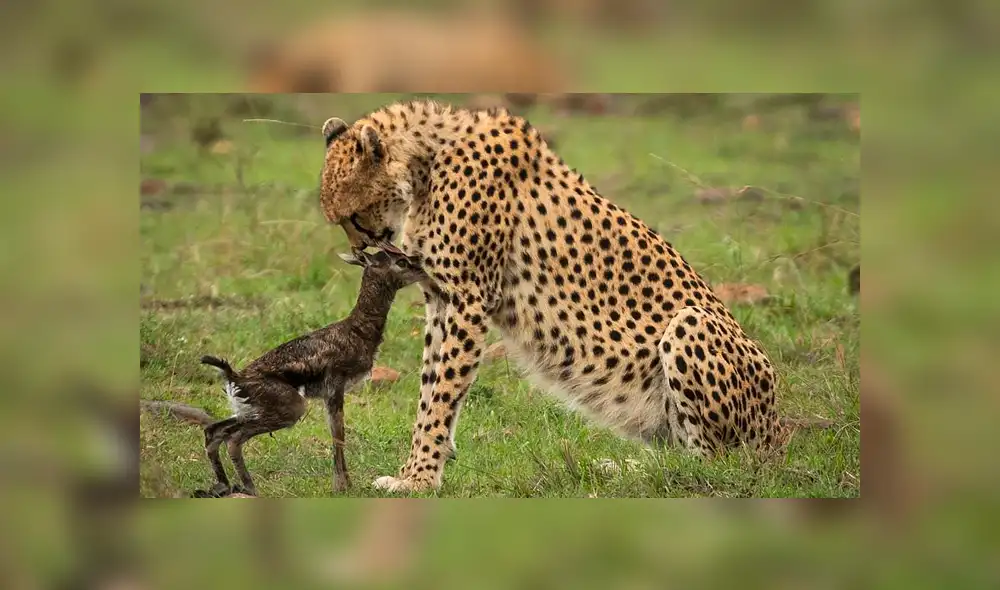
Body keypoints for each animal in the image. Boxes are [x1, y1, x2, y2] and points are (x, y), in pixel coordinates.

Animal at [317, 99, 781, 493]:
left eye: (353, 216)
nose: (360, 253)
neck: (426, 159)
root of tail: (779, 430)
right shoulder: (440, 298)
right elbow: (430, 387)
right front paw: (416, 469)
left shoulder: (468, 299)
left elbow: (443, 394)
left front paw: (420, 479)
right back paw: (622, 467)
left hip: (693, 323)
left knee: (712, 463)